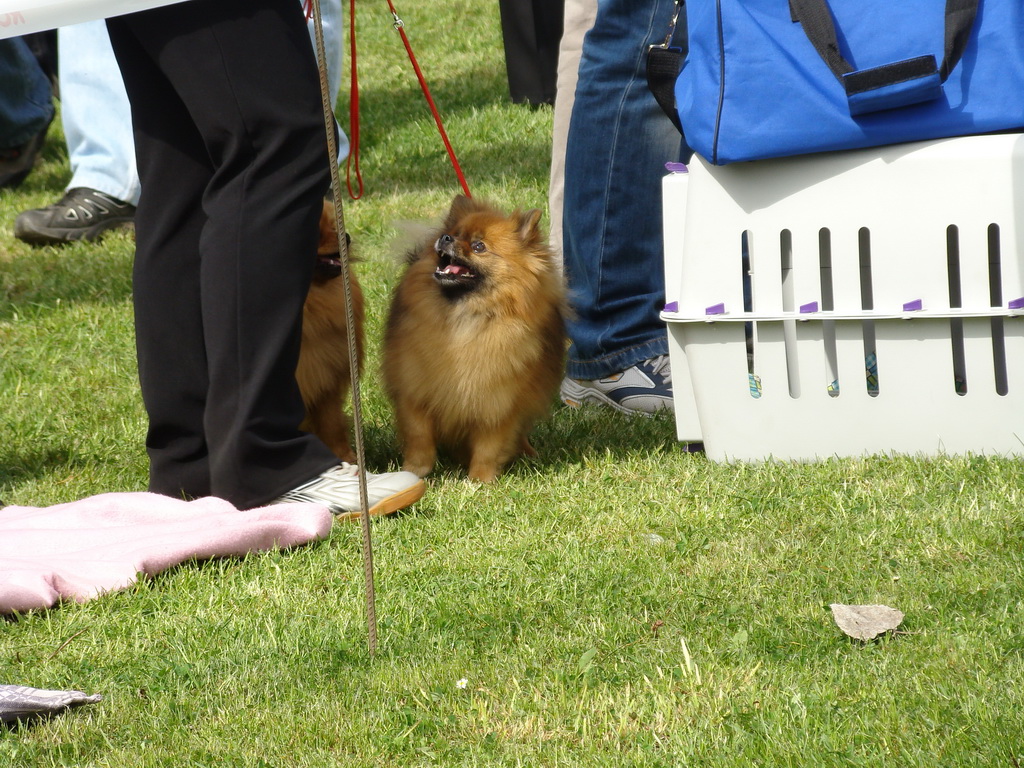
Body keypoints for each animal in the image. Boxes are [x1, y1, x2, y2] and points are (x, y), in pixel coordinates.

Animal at [382, 193, 565, 481]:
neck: (464, 319)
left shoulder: (499, 405)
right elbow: (419, 437)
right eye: (454, 233)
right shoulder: (415, 391)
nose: (446, 238)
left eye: (479, 246)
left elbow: (490, 447)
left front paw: (480, 479)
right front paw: (414, 472)